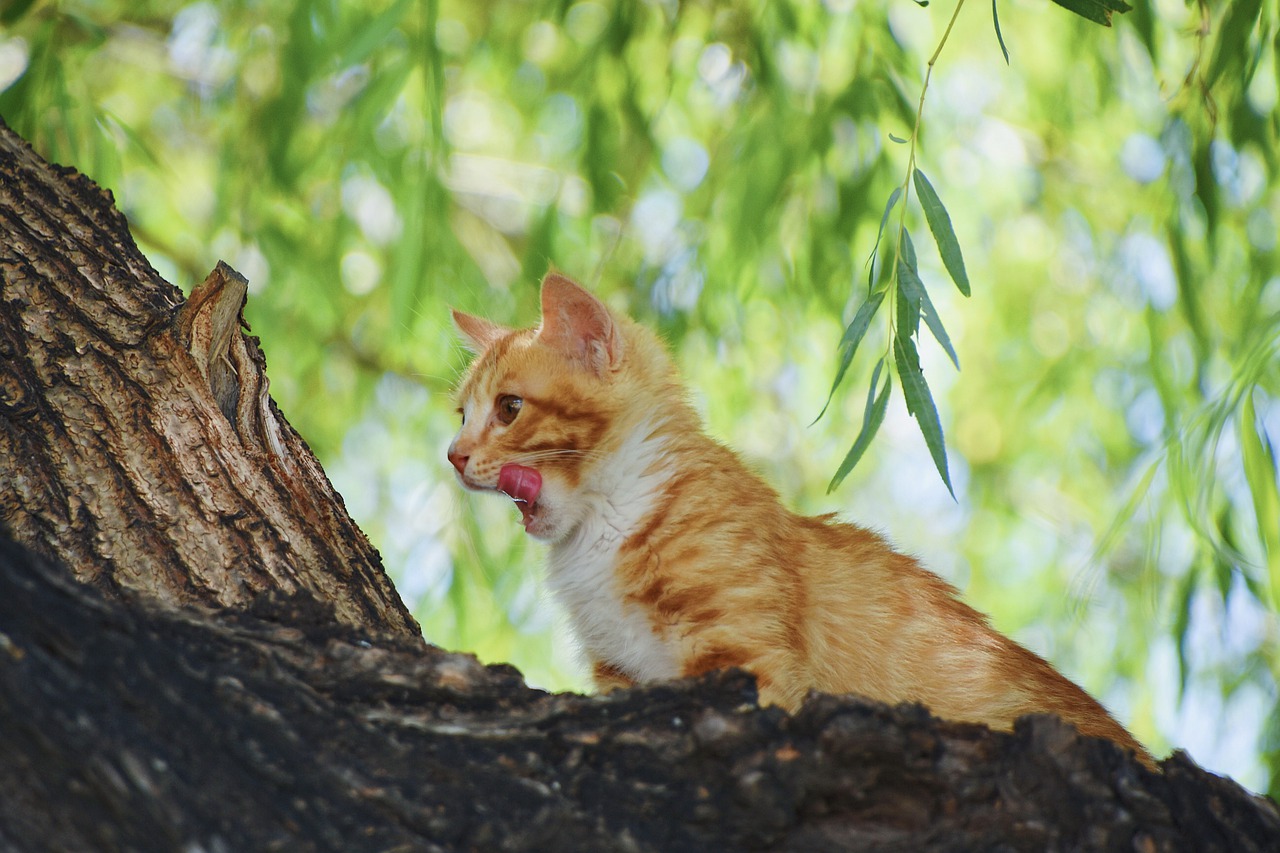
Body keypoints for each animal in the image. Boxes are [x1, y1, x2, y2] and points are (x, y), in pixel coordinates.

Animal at [445, 270, 1157, 763]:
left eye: (508, 409)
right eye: (461, 414)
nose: (453, 455)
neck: (603, 525)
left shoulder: (743, 660)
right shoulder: (621, 675)